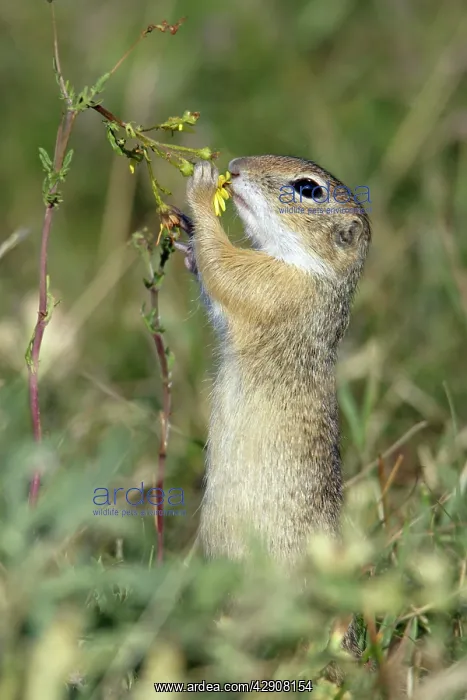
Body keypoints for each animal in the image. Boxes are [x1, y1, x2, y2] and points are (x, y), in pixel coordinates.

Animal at [180, 155, 371, 665]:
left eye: (309, 189)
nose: (234, 166)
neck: (315, 273)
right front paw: (187, 248)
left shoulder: (270, 283)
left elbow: (225, 269)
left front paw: (201, 191)